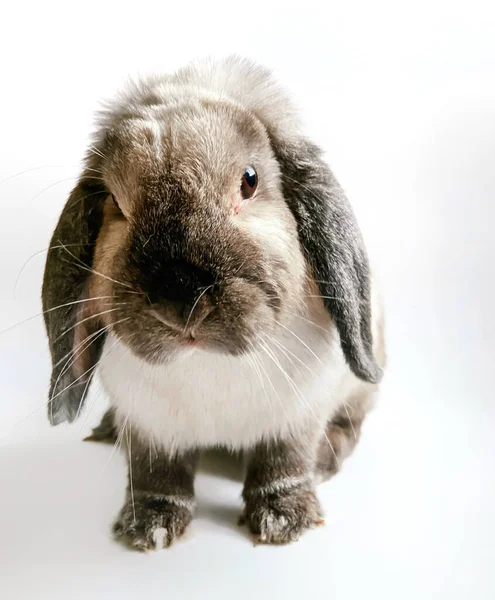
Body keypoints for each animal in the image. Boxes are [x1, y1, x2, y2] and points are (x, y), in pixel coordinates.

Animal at [41, 55, 388, 548]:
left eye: (249, 181)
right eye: (115, 203)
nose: (180, 300)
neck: (206, 365)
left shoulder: (296, 417)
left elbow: (283, 465)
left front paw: (285, 520)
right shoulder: (151, 428)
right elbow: (155, 475)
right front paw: (149, 527)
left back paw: (328, 455)